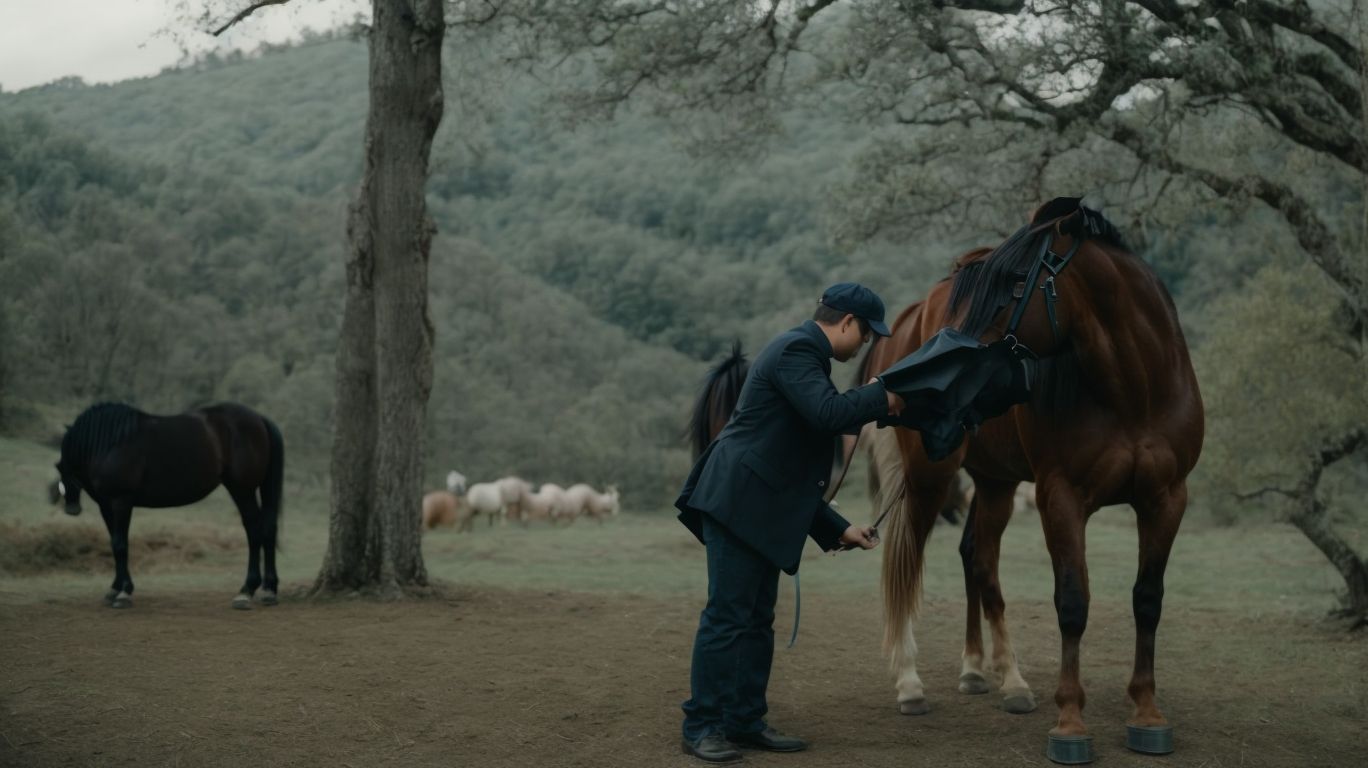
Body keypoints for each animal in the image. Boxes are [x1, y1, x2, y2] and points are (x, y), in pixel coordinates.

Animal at [54, 401, 285, 610]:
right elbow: (114, 543)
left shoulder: (121, 502)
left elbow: (120, 545)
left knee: (254, 530)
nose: (71, 508)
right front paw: (115, 588)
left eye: (61, 467)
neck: (110, 443)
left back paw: (246, 591)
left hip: (242, 490)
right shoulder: (106, 505)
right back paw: (269, 590)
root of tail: (259, 419)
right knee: (267, 529)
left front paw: (124, 593)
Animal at [874, 198, 1203, 761]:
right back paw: (911, 683)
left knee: (978, 558)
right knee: (910, 562)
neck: (1134, 391)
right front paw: (1069, 722)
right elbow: (1072, 603)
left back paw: (992, 675)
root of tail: (915, 312)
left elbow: (1147, 599)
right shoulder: (1060, 498)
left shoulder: (1165, 500)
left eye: (1012, 284)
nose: (925, 389)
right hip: (930, 480)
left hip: (994, 483)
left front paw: (1147, 712)